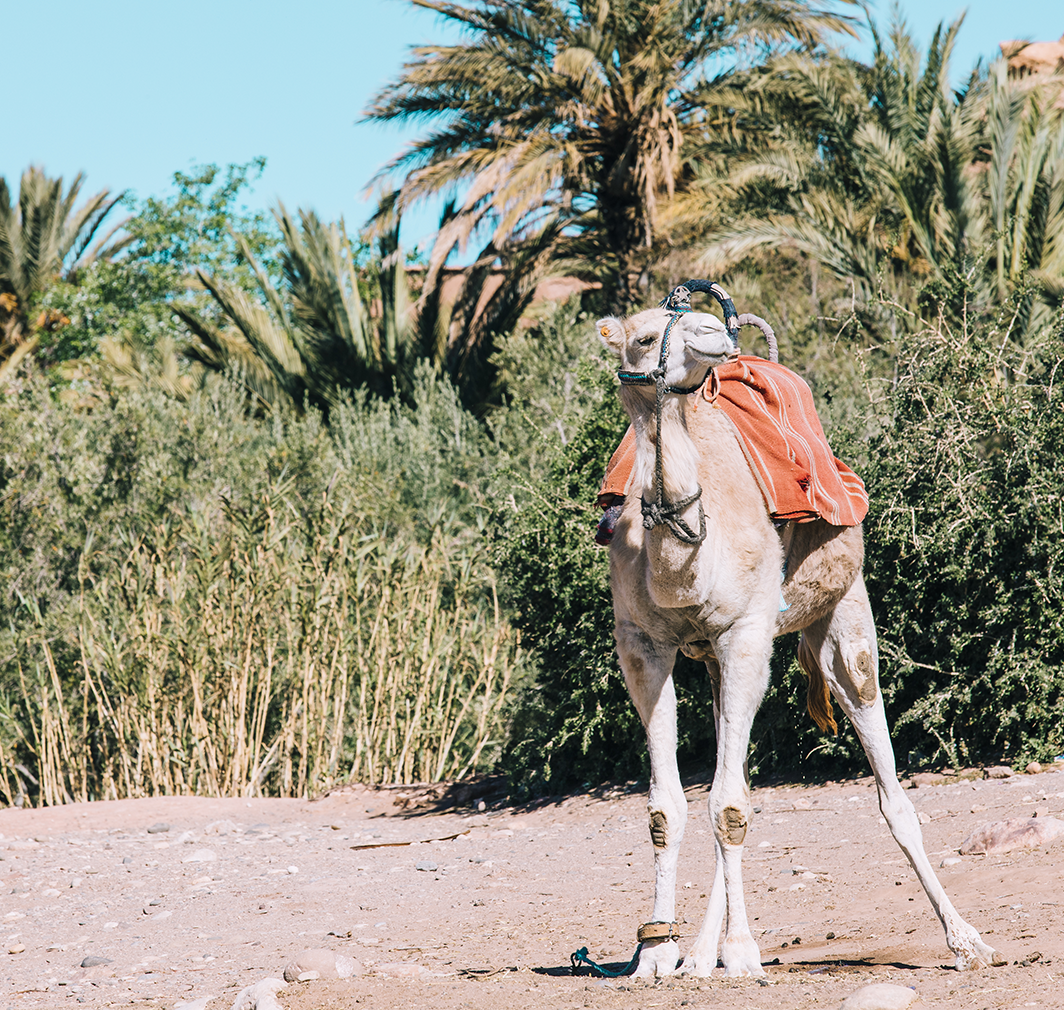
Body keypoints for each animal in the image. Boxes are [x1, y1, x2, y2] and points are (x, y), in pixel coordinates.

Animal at [600, 280, 1004, 979]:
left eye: (692, 316)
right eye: (646, 337)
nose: (716, 332)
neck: (683, 555)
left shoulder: (745, 632)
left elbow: (728, 805)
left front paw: (740, 949)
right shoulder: (643, 645)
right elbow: (668, 808)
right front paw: (655, 953)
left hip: (842, 615)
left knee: (886, 786)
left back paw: (965, 940)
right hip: (720, 657)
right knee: (730, 775)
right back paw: (700, 954)